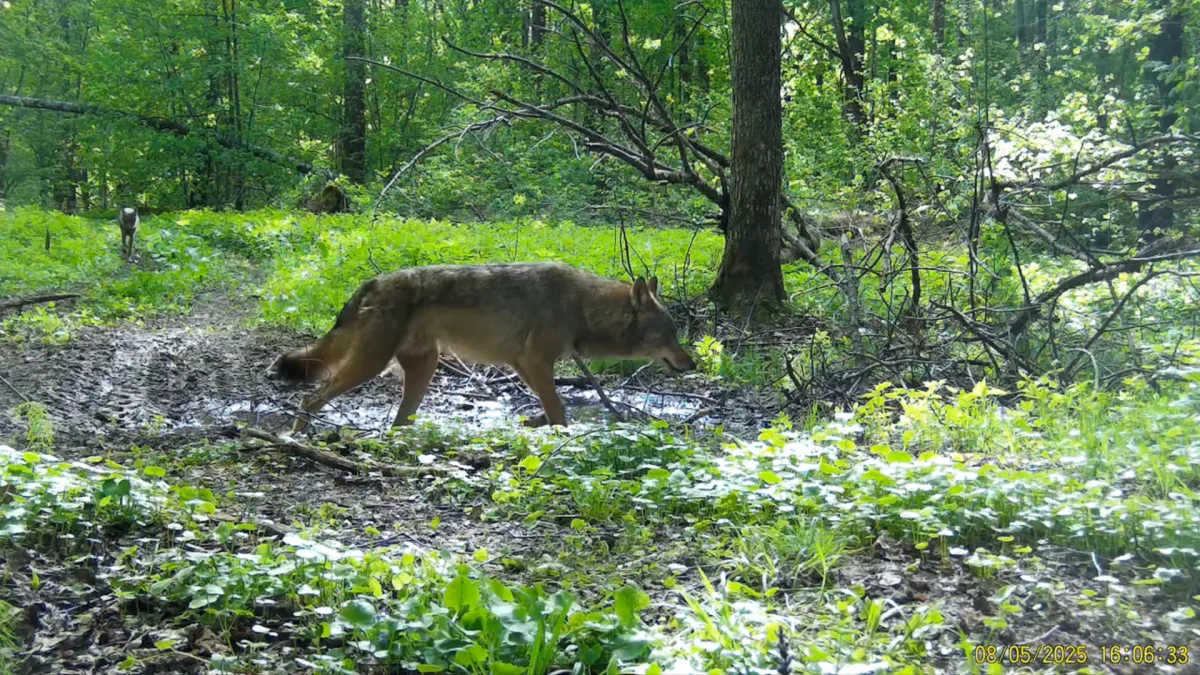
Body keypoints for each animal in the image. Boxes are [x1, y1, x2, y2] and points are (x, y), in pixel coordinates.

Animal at [271, 262, 697, 432]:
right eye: (670, 334)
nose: (691, 363)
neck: (580, 307)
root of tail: (372, 282)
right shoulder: (534, 360)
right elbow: (559, 410)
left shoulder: (523, 363)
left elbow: (549, 406)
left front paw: (533, 424)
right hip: (370, 365)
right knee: (311, 397)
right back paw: (297, 436)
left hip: (423, 368)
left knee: (399, 421)